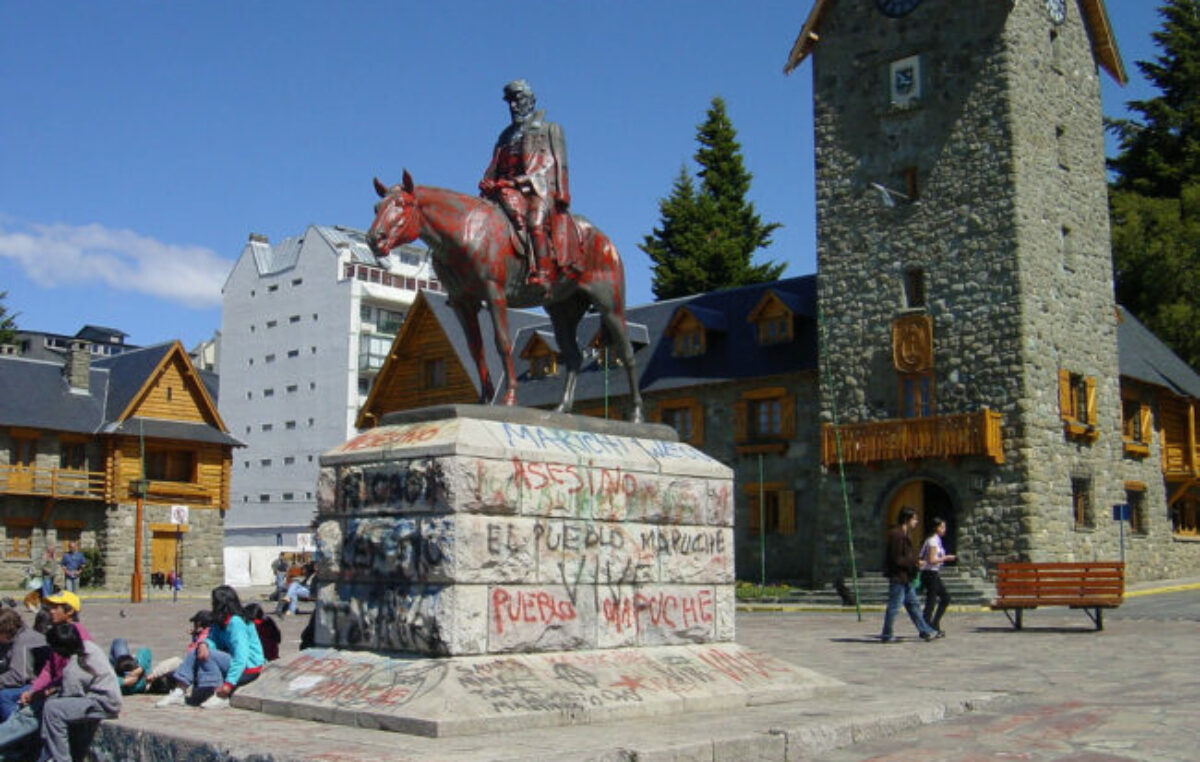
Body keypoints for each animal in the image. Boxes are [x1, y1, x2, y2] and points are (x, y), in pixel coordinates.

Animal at [367, 171, 643, 422]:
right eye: (376, 207)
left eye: (402, 204)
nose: (374, 239)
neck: (466, 232)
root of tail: (606, 243)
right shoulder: (463, 303)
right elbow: (475, 348)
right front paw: (485, 398)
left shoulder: (494, 295)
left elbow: (502, 342)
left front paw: (509, 397)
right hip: (563, 312)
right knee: (574, 357)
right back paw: (562, 408)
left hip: (610, 306)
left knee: (626, 351)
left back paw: (636, 414)